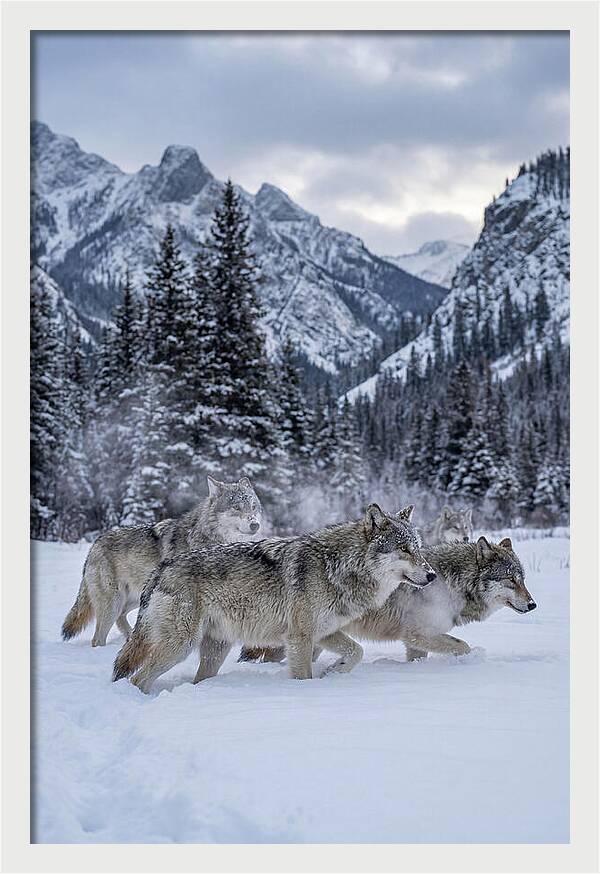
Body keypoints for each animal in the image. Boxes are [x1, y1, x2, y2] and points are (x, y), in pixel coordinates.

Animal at [61, 476, 262, 647]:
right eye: (236, 507)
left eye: (253, 506)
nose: (255, 524)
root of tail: (95, 543)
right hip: (114, 603)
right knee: (98, 638)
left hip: (137, 598)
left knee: (121, 618)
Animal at [112, 503, 437, 692]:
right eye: (404, 549)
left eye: (418, 547)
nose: (432, 575)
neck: (337, 566)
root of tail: (161, 568)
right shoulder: (300, 637)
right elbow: (304, 675)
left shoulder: (324, 632)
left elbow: (356, 651)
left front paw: (334, 672)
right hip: (180, 646)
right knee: (137, 678)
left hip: (215, 649)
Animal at [240, 534, 535, 665]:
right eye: (510, 580)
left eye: (523, 579)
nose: (533, 605)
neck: (451, 584)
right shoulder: (418, 634)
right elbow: (462, 645)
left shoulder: (416, 641)